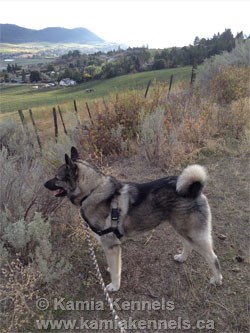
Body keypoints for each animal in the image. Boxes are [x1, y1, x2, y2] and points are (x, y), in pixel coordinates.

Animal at [43, 147, 223, 290]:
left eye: (57, 178)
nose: (44, 184)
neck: (92, 191)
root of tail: (194, 189)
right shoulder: (110, 246)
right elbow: (113, 265)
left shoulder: (111, 245)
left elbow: (116, 270)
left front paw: (114, 286)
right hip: (181, 228)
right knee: (187, 245)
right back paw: (182, 258)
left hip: (194, 234)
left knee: (213, 258)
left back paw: (217, 279)